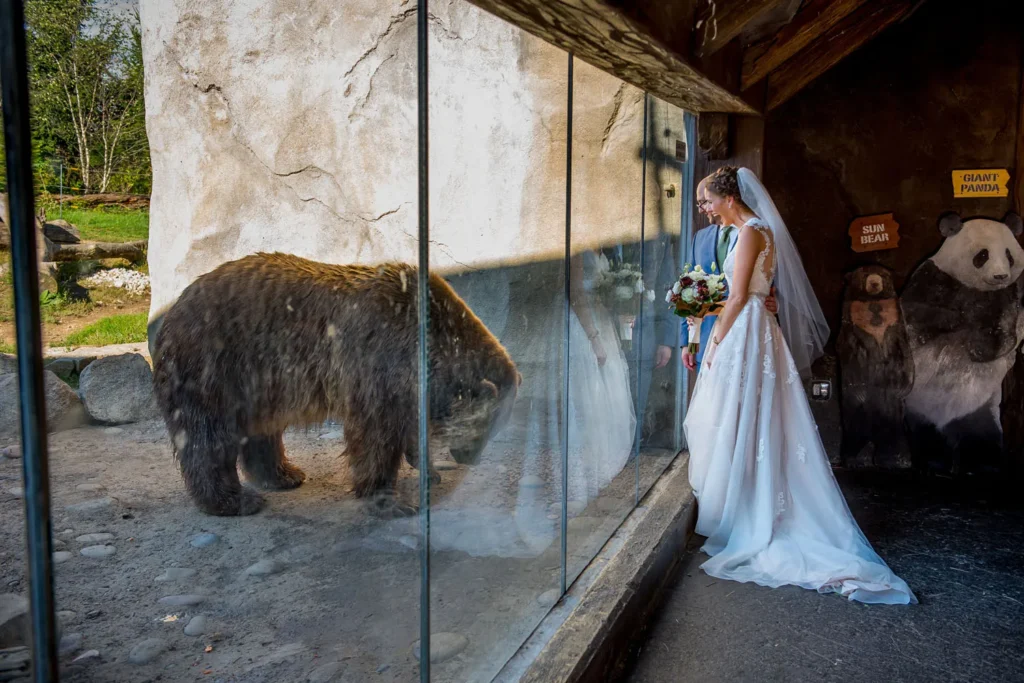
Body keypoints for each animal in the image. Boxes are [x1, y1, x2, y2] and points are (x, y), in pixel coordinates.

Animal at [153, 253, 520, 516]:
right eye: (485, 425)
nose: (471, 458)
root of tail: (171, 313)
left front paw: (428, 468)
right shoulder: (379, 362)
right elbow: (376, 435)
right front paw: (391, 500)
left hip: (261, 382)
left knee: (262, 431)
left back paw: (284, 474)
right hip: (214, 365)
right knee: (207, 436)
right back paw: (233, 500)